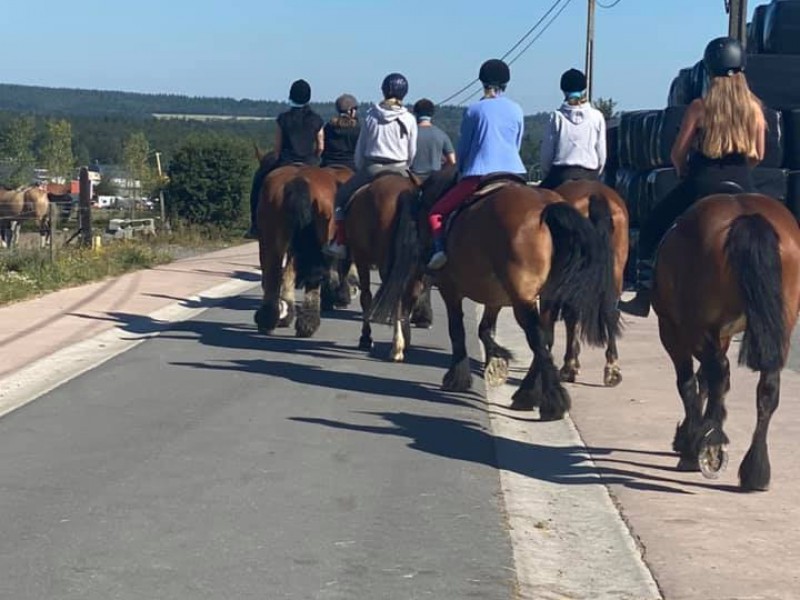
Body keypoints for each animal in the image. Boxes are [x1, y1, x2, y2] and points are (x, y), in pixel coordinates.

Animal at [253, 165, 354, 338]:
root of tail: (298, 181)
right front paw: (340, 297)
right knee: (314, 278)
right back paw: (308, 323)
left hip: (271, 239)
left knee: (274, 275)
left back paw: (270, 319)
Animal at [340, 172, 434, 360]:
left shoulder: (362, 259)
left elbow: (366, 297)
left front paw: (366, 337)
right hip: (416, 267)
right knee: (410, 295)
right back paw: (404, 341)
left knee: (395, 296)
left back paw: (396, 346)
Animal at [368, 168, 620, 422]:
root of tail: (547, 207)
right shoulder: (495, 296)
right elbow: (484, 329)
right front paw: (496, 359)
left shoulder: (451, 289)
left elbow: (457, 330)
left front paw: (459, 376)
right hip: (547, 295)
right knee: (547, 337)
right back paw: (530, 392)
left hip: (522, 297)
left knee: (538, 338)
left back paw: (550, 401)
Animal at [552, 178, 632, 386]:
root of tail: (596, 195)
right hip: (617, 267)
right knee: (611, 313)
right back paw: (612, 370)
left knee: (573, 313)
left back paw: (569, 367)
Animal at [652, 195, 800, 490]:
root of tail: (747, 215)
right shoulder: (722, 335)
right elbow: (709, 382)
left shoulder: (673, 331)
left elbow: (689, 383)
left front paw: (691, 443)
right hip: (782, 328)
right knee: (766, 388)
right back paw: (755, 470)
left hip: (693, 329)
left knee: (716, 373)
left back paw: (709, 444)